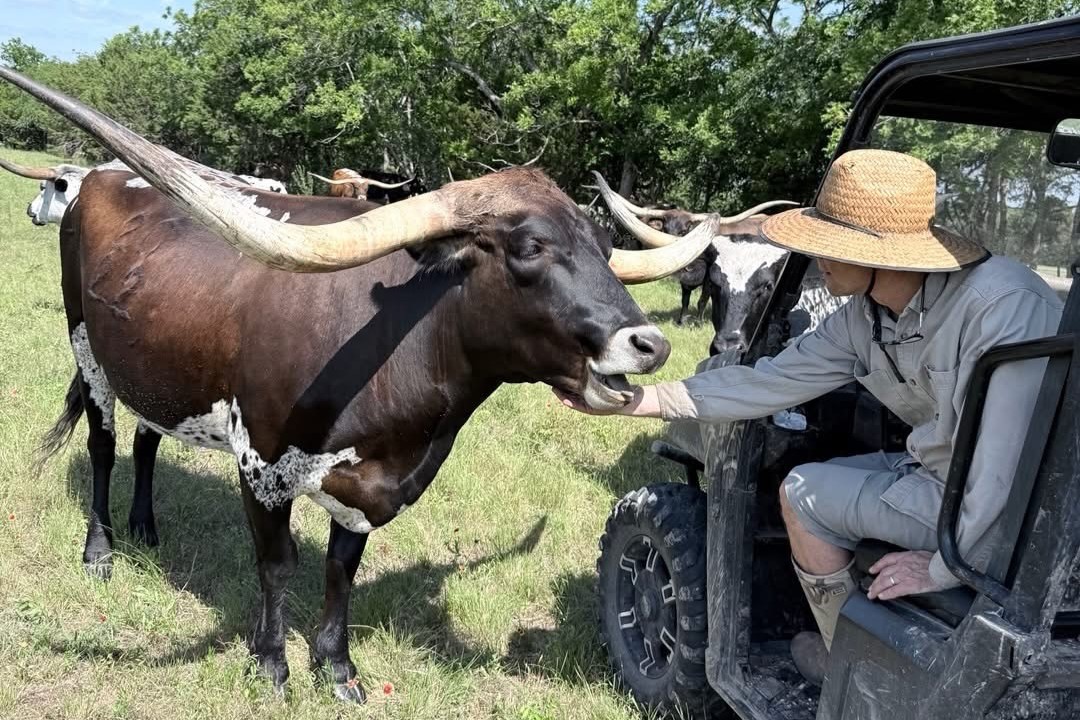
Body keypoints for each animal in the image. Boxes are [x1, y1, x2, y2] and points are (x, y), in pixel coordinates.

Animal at [1, 67, 719, 704]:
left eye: (603, 245)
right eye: (529, 247)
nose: (650, 345)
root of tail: (98, 177)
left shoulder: (372, 482)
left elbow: (341, 567)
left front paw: (337, 668)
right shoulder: (261, 464)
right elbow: (278, 562)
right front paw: (272, 665)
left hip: (158, 369)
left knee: (146, 439)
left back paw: (146, 528)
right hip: (87, 349)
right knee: (101, 444)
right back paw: (101, 550)